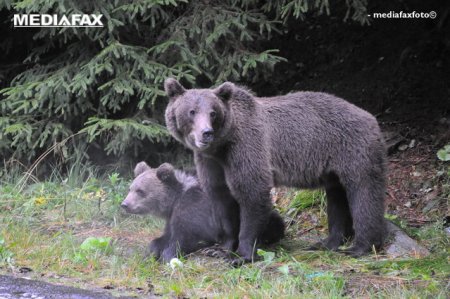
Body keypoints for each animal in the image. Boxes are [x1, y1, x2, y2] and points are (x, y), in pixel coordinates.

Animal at [164, 78, 386, 264]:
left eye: (213, 112)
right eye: (192, 111)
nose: (206, 133)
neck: (222, 147)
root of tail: (371, 117)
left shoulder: (246, 147)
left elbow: (253, 193)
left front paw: (242, 255)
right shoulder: (211, 163)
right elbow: (222, 199)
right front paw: (220, 249)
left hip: (353, 149)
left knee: (364, 192)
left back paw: (360, 246)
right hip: (333, 167)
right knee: (337, 198)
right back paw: (328, 242)